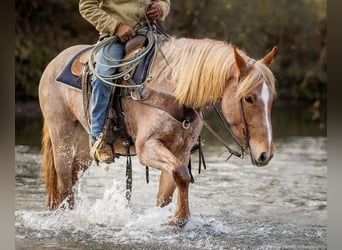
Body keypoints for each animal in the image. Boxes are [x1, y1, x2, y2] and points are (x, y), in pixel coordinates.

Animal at [38, 35, 276, 227]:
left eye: (272, 98)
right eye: (248, 98)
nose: (265, 154)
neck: (174, 91)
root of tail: (53, 63)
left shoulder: (180, 151)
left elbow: (169, 190)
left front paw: (171, 218)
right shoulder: (147, 148)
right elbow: (182, 174)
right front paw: (179, 217)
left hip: (83, 150)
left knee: (71, 179)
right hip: (62, 138)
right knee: (64, 183)